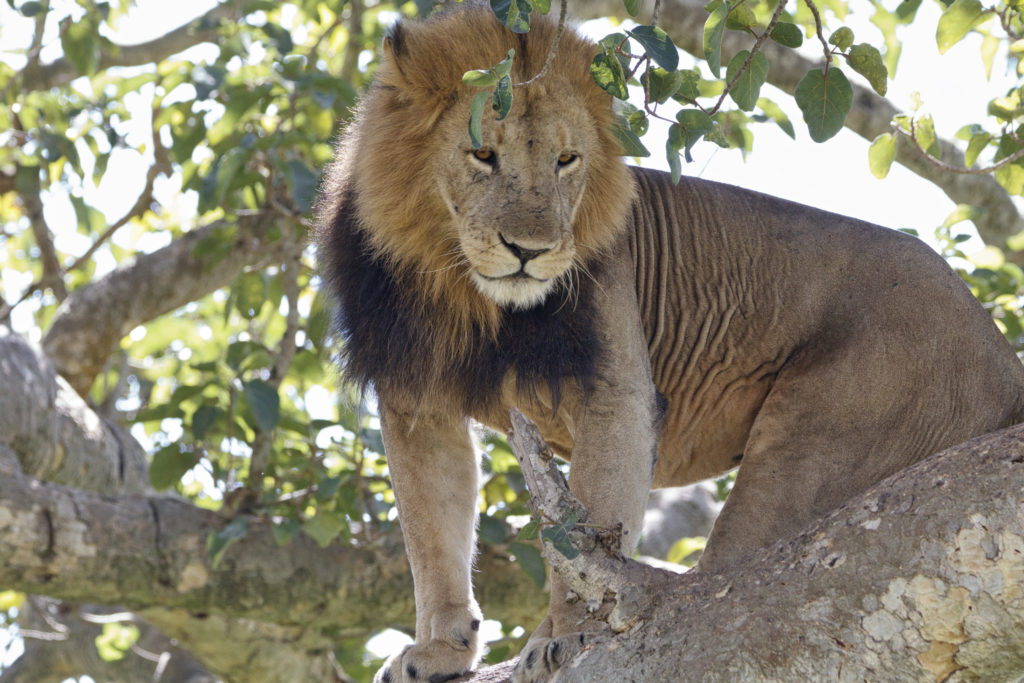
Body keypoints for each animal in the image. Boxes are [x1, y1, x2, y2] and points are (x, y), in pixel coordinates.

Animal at [316, 5, 1024, 682]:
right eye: (483, 155)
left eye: (566, 161)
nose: (530, 252)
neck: (464, 291)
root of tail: (1001, 353)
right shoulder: (413, 396)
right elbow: (431, 534)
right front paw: (441, 650)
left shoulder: (616, 389)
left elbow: (583, 530)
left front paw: (567, 636)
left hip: (820, 439)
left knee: (730, 599)